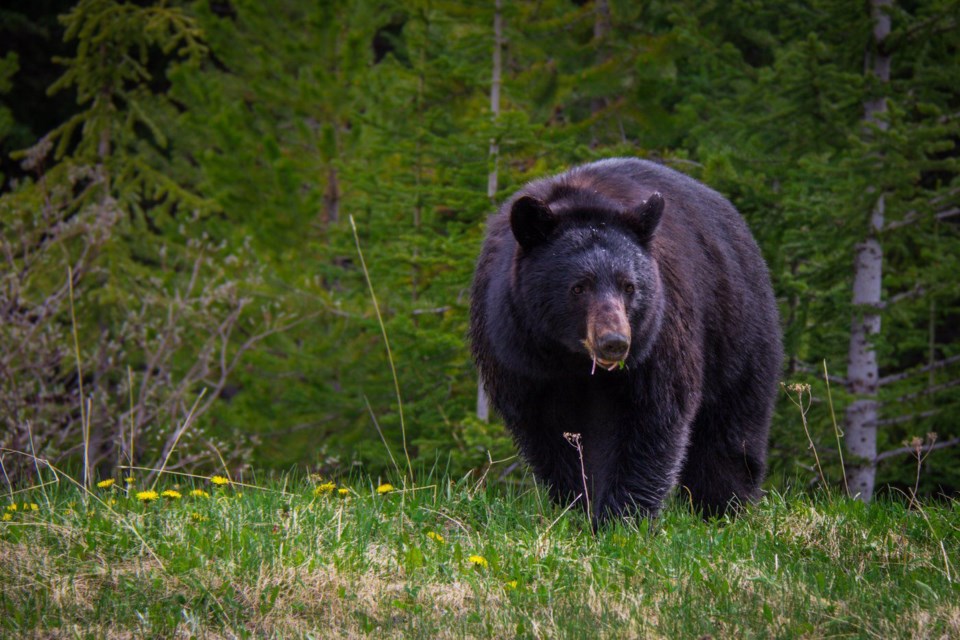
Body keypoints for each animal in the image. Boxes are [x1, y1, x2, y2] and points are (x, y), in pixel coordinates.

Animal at [468, 158, 784, 524]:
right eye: (578, 287)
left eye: (629, 286)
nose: (614, 341)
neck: (571, 358)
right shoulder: (521, 354)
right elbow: (550, 432)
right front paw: (578, 504)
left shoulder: (658, 337)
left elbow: (650, 418)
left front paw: (623, 517)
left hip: (737, 331)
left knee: (730, 427)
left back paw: (722, 507)